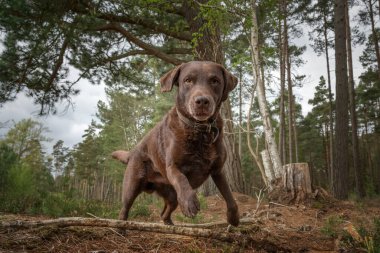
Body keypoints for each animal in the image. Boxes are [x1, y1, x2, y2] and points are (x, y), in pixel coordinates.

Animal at [111, 60, 239, 225]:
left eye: (215, 81)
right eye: (188, 80)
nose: (202, 101)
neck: (199, 130)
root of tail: (133, 151)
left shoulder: (218, 170)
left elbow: (229, 195)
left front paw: (233, 217)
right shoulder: (172, 166)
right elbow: (182, 179)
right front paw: (190, 202)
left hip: (172, 197)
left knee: (164, 213)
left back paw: (170, 224)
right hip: (131, 186)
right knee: (124, 209)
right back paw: (121, 224)